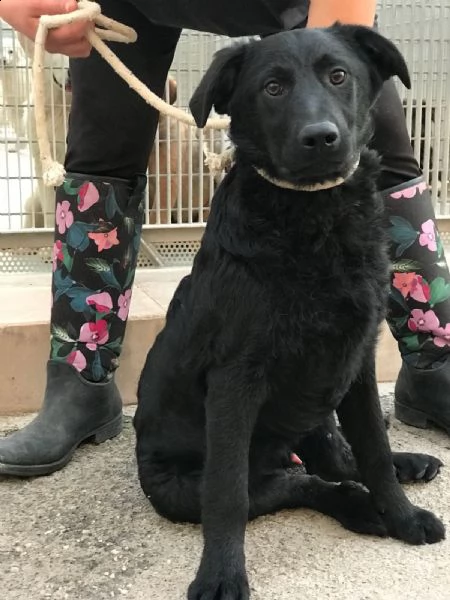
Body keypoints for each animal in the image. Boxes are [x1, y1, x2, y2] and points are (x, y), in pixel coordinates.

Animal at [133, 24, 442, 600]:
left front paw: (403, 515)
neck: (315, 218)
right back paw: (358, 506)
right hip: (183, 487)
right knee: (297, 484)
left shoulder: (358, 361)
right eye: (272, 88)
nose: (320, 138)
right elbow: (228, 494)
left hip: (318, 409)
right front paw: (221, 574)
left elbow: (373, 447)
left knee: (339, 460)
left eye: (338, 75)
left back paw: (403, 470)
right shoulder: (235, 380)